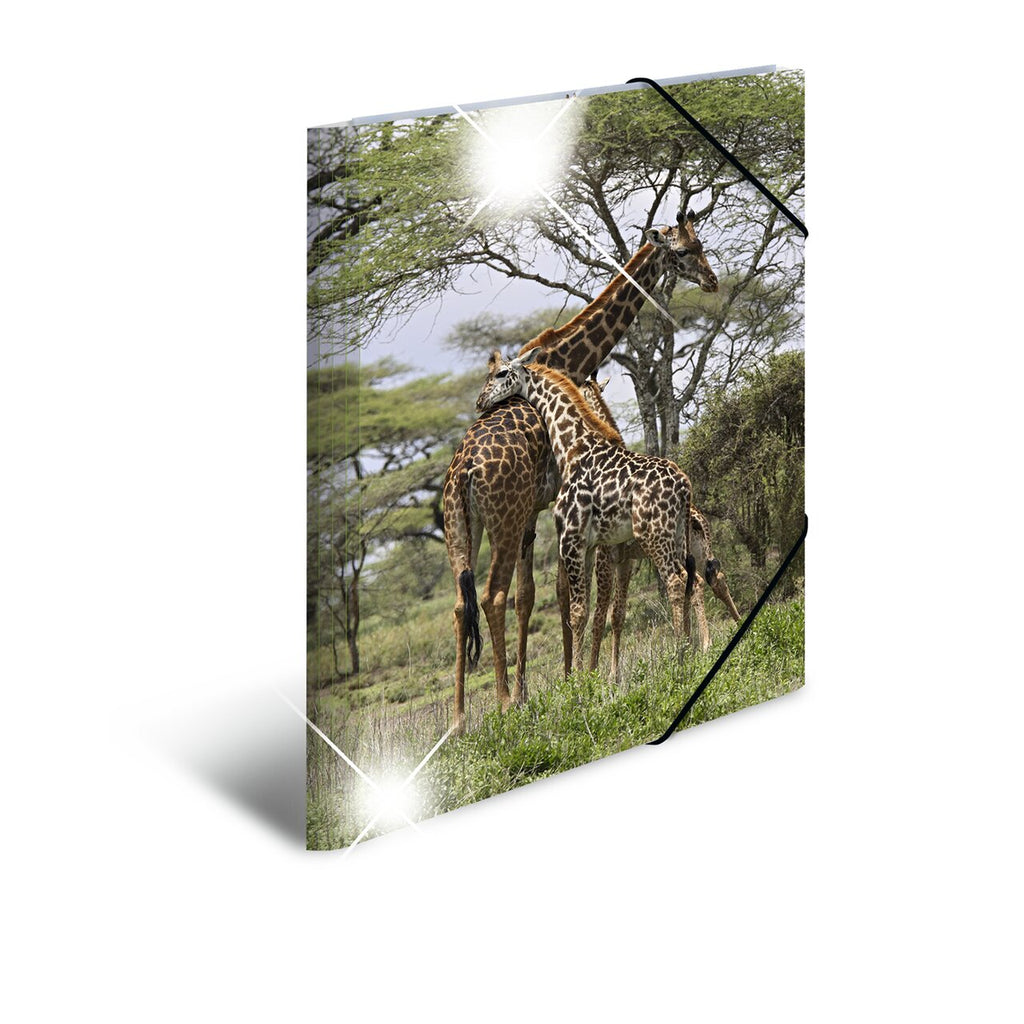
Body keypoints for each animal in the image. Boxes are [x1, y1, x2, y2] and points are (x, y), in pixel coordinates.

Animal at [476, 359, 699, 674]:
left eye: (501, 373)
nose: (480, 401)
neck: (572, 447)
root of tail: (685, 484)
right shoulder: (592, 545)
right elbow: (592, 610)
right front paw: (591, 674)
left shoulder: (572, 539)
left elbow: (580, 611)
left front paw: (581, 678)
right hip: (678, 533)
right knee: (691, 579)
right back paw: (692, 650)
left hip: (654, 533)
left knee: (676, 580)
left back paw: (680, 657)